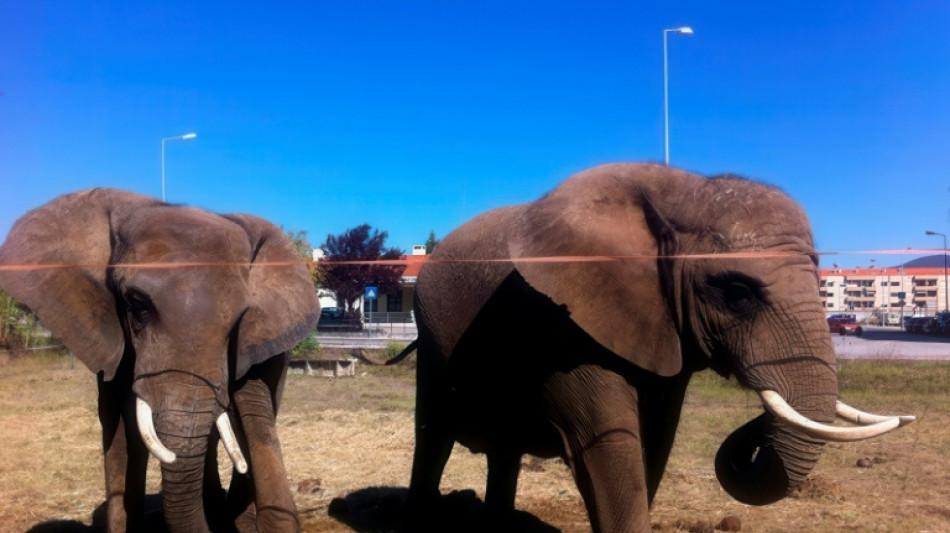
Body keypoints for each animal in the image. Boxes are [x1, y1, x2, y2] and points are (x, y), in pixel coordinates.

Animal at [405, 163, 914, 533]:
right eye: (737, 293)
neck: (685, 192)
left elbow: (657, 439)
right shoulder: (563, 326)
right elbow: (609, 443)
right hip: (429, 328)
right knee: (433, 431)